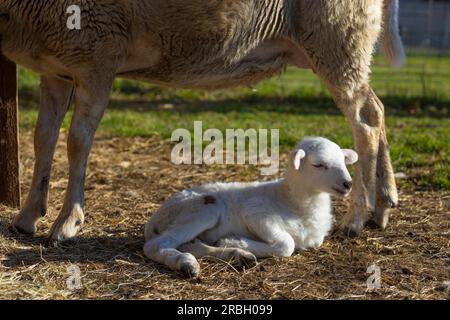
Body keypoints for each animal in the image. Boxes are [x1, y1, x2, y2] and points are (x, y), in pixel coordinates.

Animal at [0, 0, 400, 242]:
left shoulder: (96, 56)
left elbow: (77, 141)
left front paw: (67, 222)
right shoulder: (56, 69)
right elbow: (43, 137)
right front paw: (27, 216)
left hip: (337, 36)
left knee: (364, 124)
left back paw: (356, 218)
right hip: (345, 44)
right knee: (377, 110)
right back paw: (383, 205)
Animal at [144, 138, 358, 278]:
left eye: (343, 161)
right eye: (319, 165)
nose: (348, 184)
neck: (291, 201)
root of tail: (154, 219)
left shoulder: (314, 238)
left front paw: (232, 243)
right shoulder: (255, 212)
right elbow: (287, 244)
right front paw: (235, 240)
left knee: (189, 245)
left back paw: (234, 255)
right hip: (203, 209)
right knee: (154, 245)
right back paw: (187, 264)